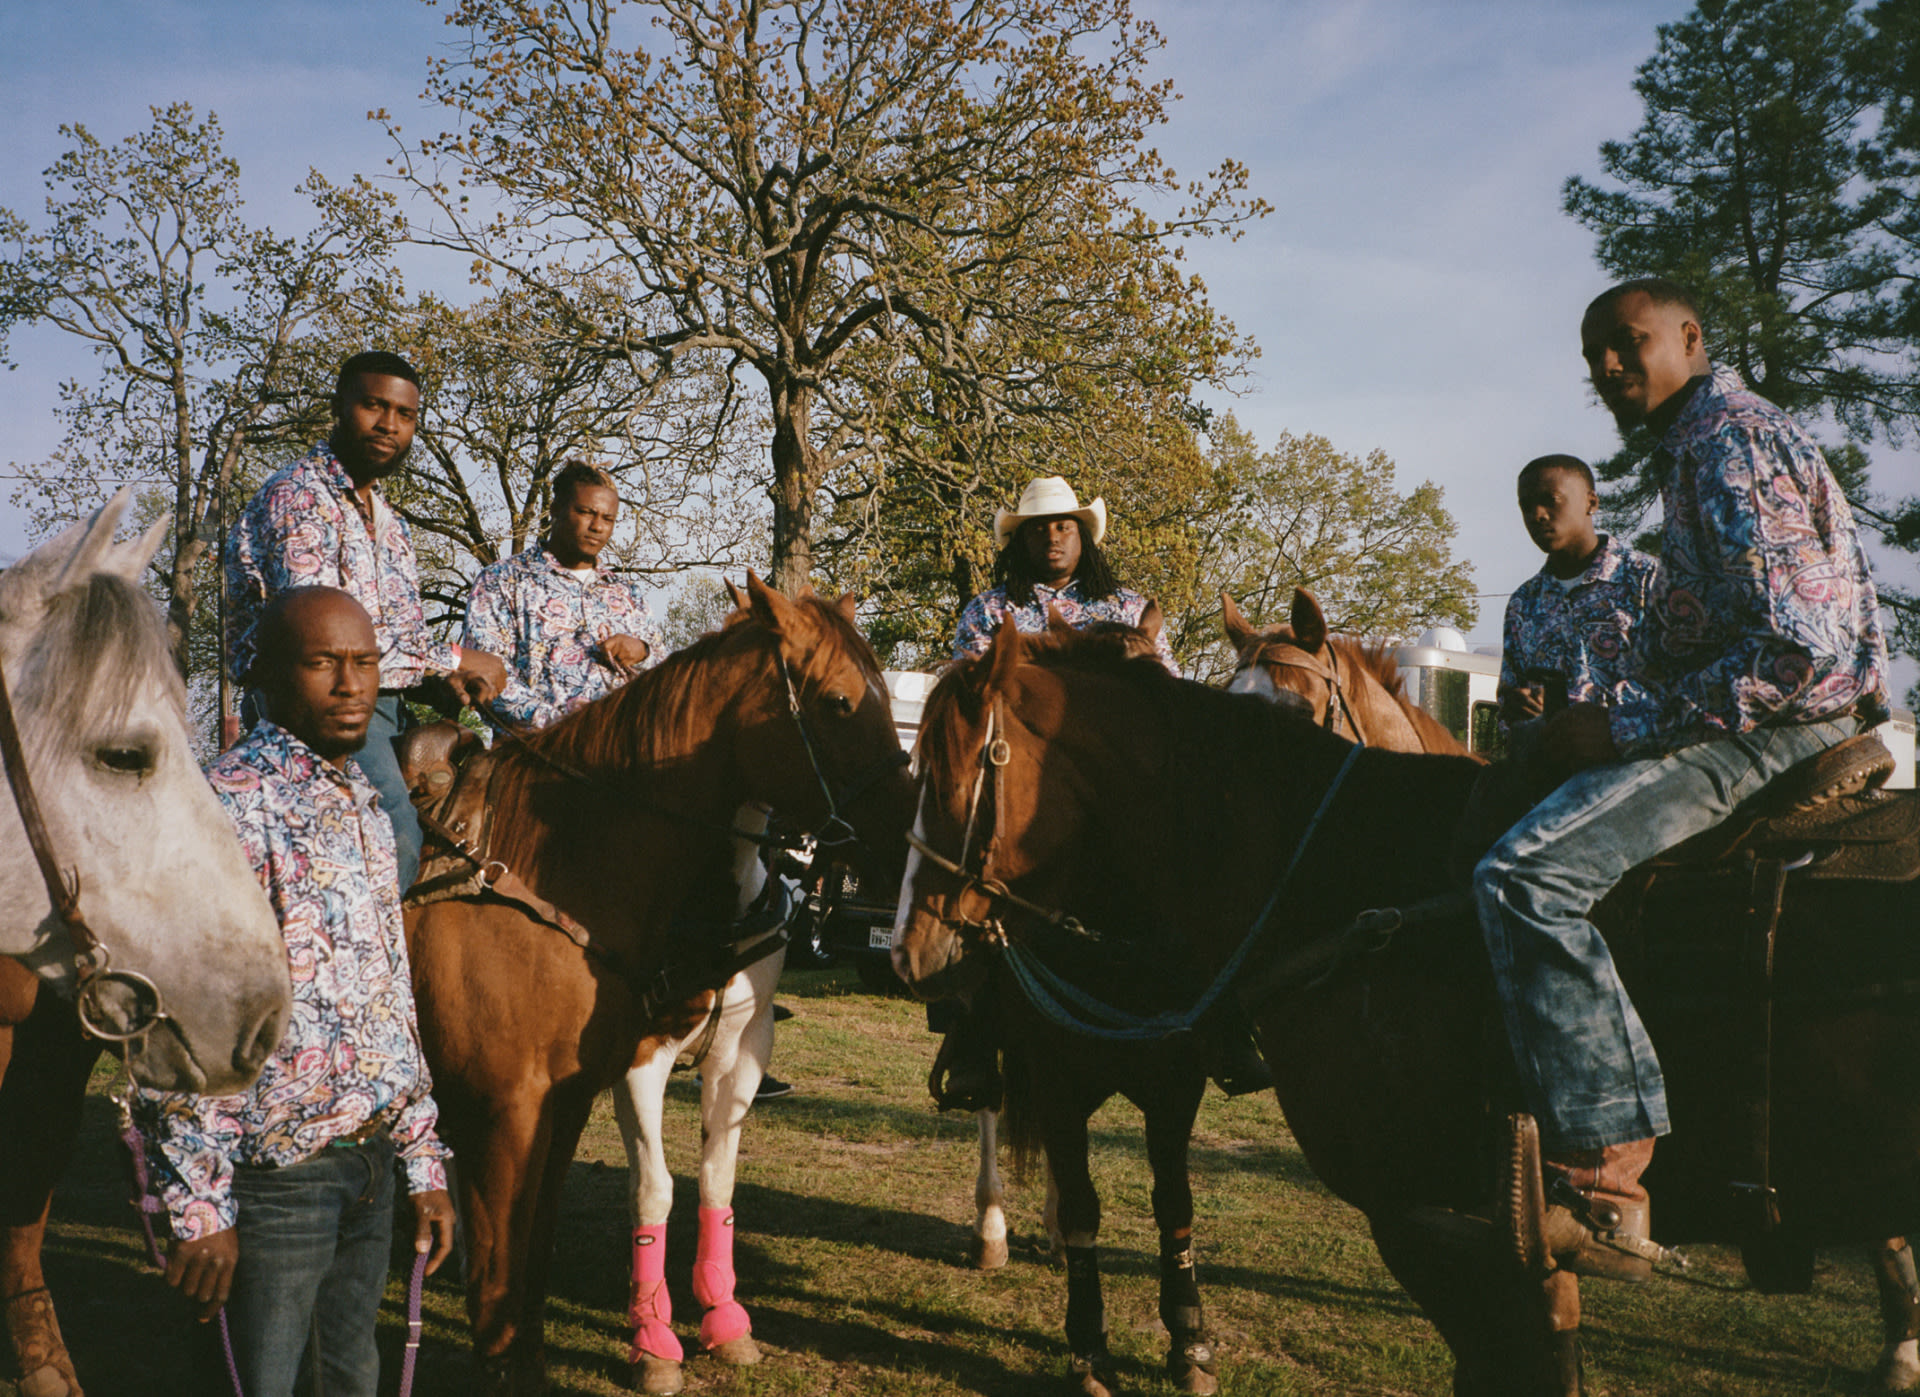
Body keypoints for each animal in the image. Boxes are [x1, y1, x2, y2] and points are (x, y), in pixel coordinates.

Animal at [407, 571, 913, 1389]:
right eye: (840, 700)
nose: (909, 837)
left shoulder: (722, 1053)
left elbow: (708, 1183)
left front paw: (723, 1319)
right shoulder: (580, 1080)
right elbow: (641, 1193)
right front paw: (653, 1339)